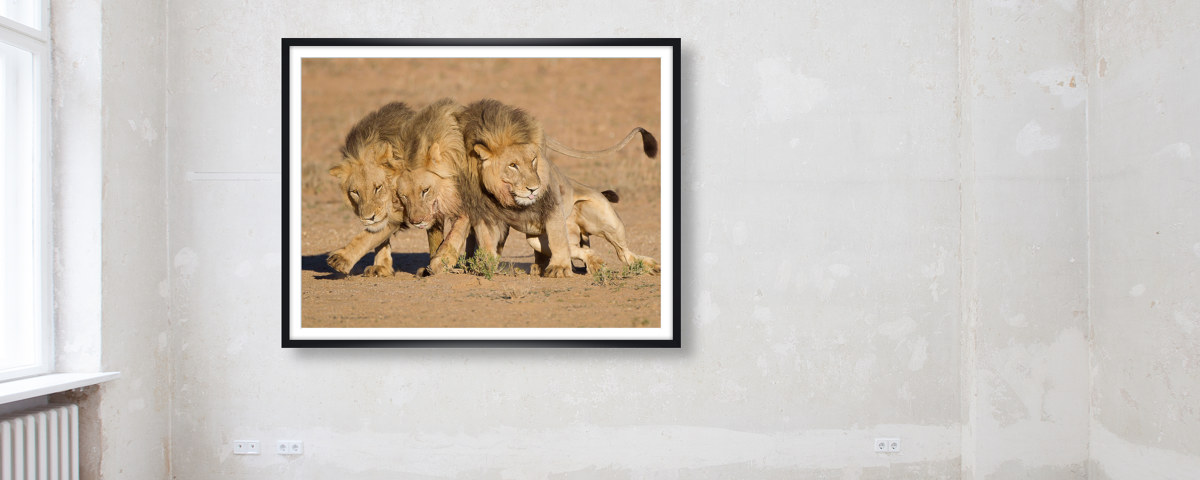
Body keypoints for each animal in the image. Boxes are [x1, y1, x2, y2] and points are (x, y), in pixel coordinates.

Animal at [326, 101, 443, 276]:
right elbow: (378, 237)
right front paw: (381, 267)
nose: (369, 218)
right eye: (355, 192)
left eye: (378, 188)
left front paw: (341, 259)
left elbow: (368, 237)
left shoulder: (402, 211)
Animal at [457, 98, 661, 277]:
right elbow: (486, 242)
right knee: (578, 249)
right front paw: (484, 267)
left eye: (533, 160)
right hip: (535, 239)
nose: (534, 188)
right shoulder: (486, 215)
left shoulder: (553, 201)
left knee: (624, 253)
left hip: (608, 220)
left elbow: (557, 239)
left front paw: (559, 269)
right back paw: (592, 264)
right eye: (512, 165)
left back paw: (650, 266)